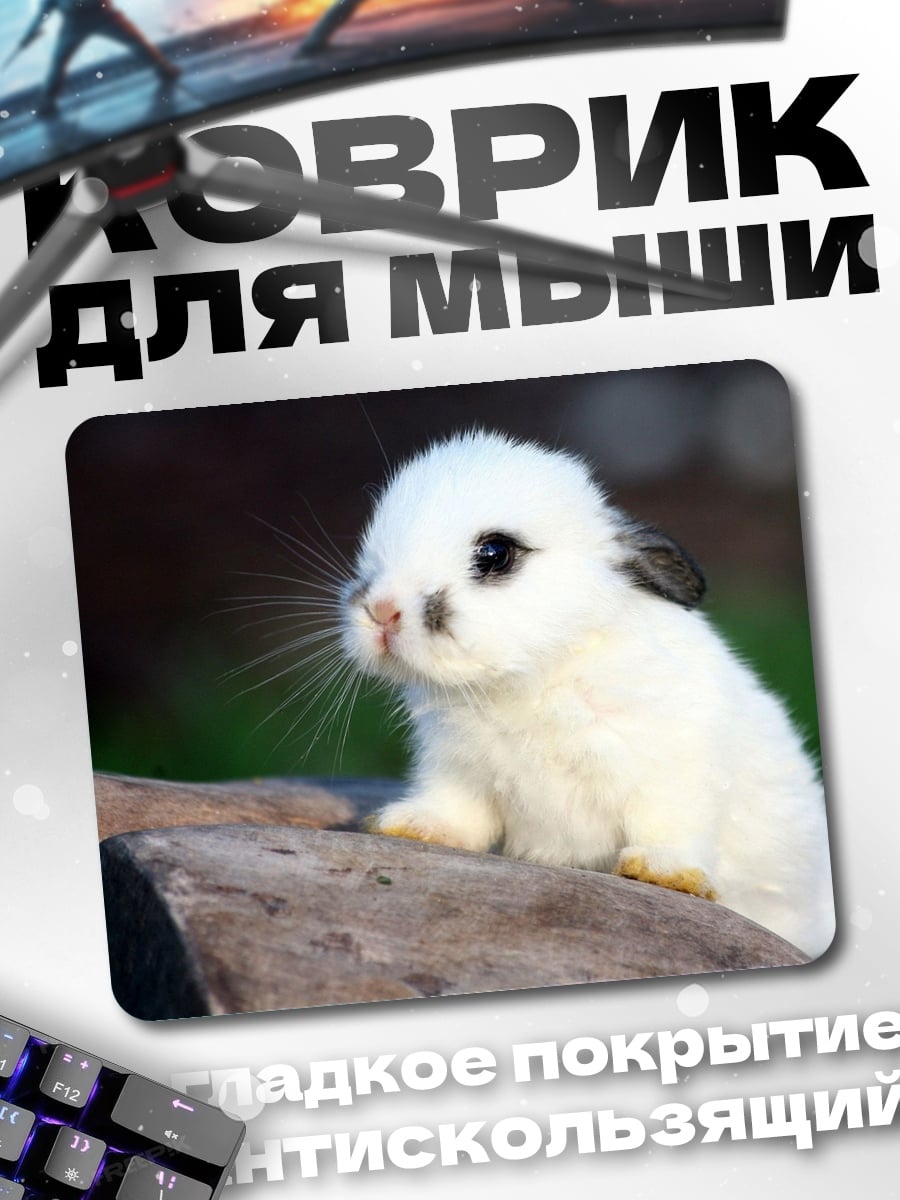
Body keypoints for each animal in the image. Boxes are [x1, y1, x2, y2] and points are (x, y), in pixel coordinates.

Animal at [340, 428, 835, 959]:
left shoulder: (675, 770)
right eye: (373, 548)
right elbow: (458, 812)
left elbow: (670, 823)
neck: (534, 677)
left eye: (495, 553)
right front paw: (411, 826)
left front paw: (661, 873)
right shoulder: (457, 771)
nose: (382, 611)